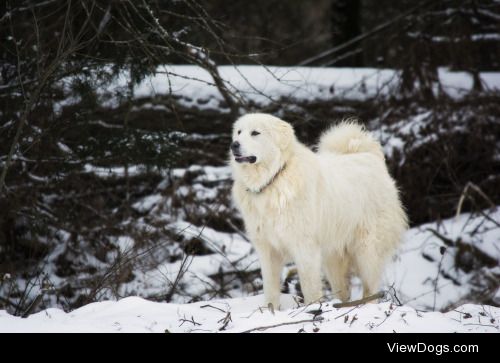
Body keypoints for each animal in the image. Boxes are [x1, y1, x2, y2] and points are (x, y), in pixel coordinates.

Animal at [229, 113, 408, 308]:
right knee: (343, 291)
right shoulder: (268, 250)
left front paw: (312, 308)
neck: (275, 178)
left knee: (371, 288)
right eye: (239, 132)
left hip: (367, 250)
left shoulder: (305, 247)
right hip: (333, 258)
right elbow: (270, 290)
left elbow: (310, 288)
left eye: (255, 133)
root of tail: (369, 156)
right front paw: (270, 311)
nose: (234, 145)